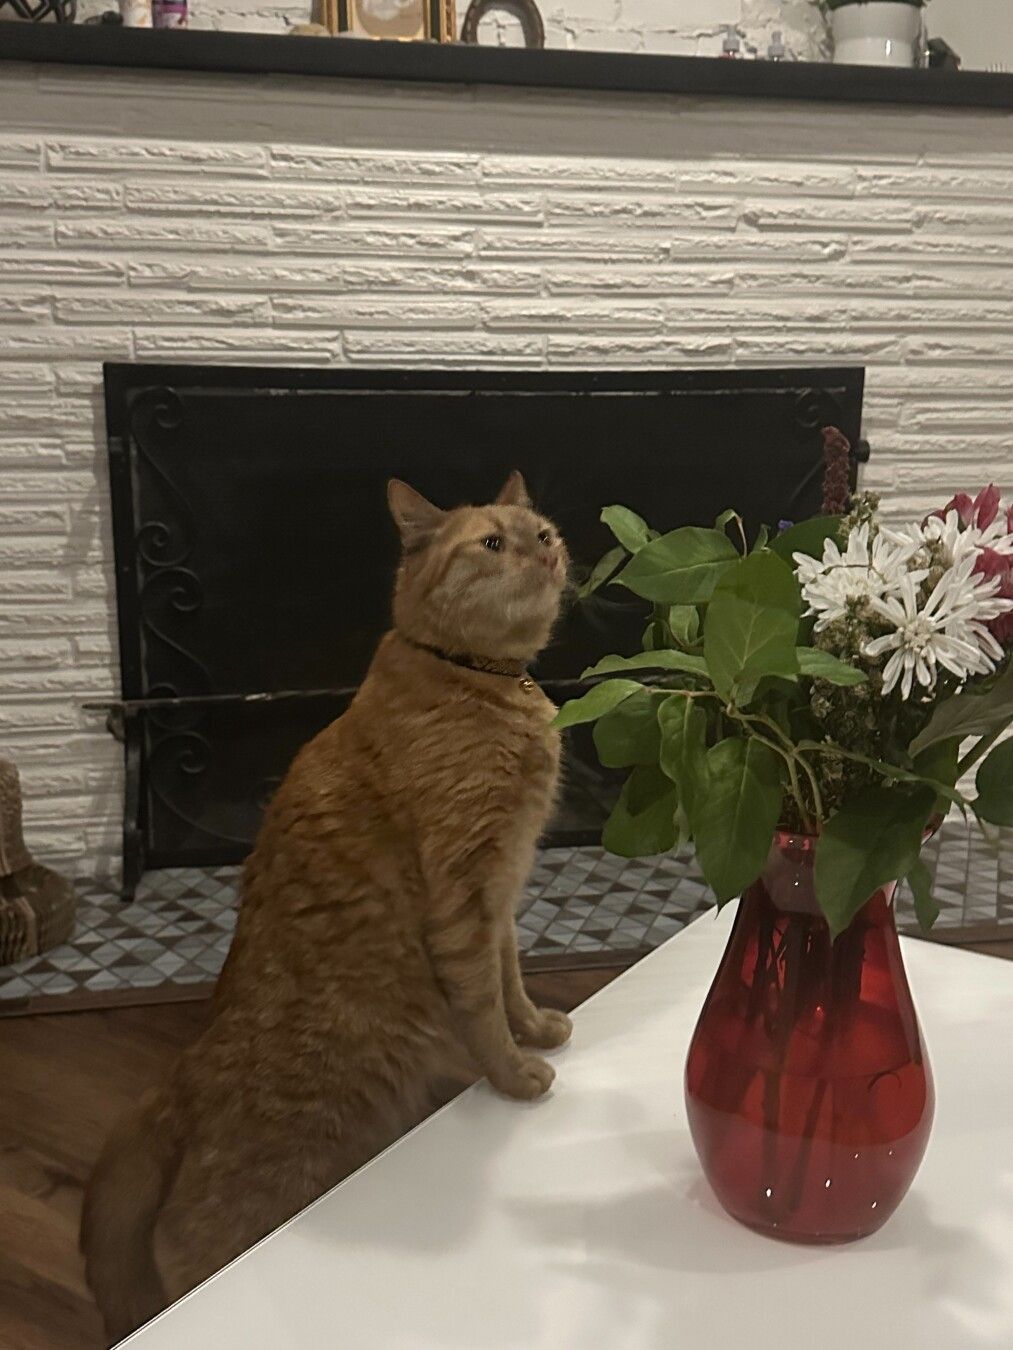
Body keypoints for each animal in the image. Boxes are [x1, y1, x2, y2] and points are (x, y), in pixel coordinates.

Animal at [81, 472, 572, 1339]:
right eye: (492, 543)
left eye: (541, 531)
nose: (547, 549)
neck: (481, 678)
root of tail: (178, 1079)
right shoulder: (466, 896)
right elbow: (482, 1006)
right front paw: (514, 1076)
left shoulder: (503, 887)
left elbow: (511, 981)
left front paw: (538, 1028)